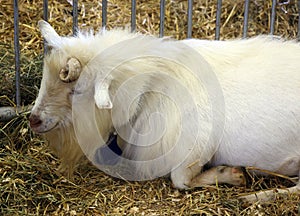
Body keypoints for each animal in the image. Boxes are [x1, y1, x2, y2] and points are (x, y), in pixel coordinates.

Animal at [29, 21, 300, 202]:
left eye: (77, 90)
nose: (34, 120)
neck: (150, 89)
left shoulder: (194, 148)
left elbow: (180, 180)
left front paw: (231, 174)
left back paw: (259, 196)